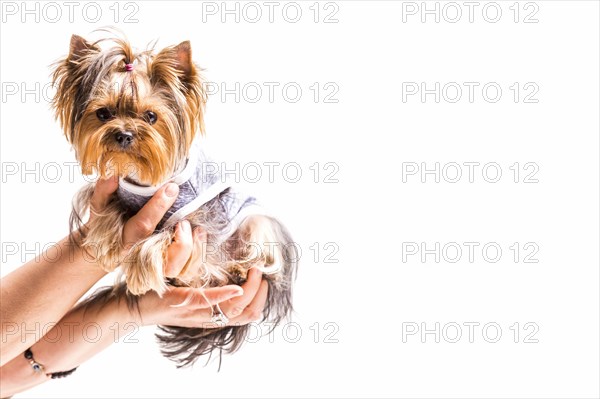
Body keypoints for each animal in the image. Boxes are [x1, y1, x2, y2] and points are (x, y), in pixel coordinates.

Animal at [51, 35, 298, 368]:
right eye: (103, 113)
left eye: (151, 116)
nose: (124, 135)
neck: (143, 179)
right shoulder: (119, 194)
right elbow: (111, 208)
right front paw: (105, 238)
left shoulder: (198, 220)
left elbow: (167, 233)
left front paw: (139, 266)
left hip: (257, 220)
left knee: (265, 254)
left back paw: (241, 268)